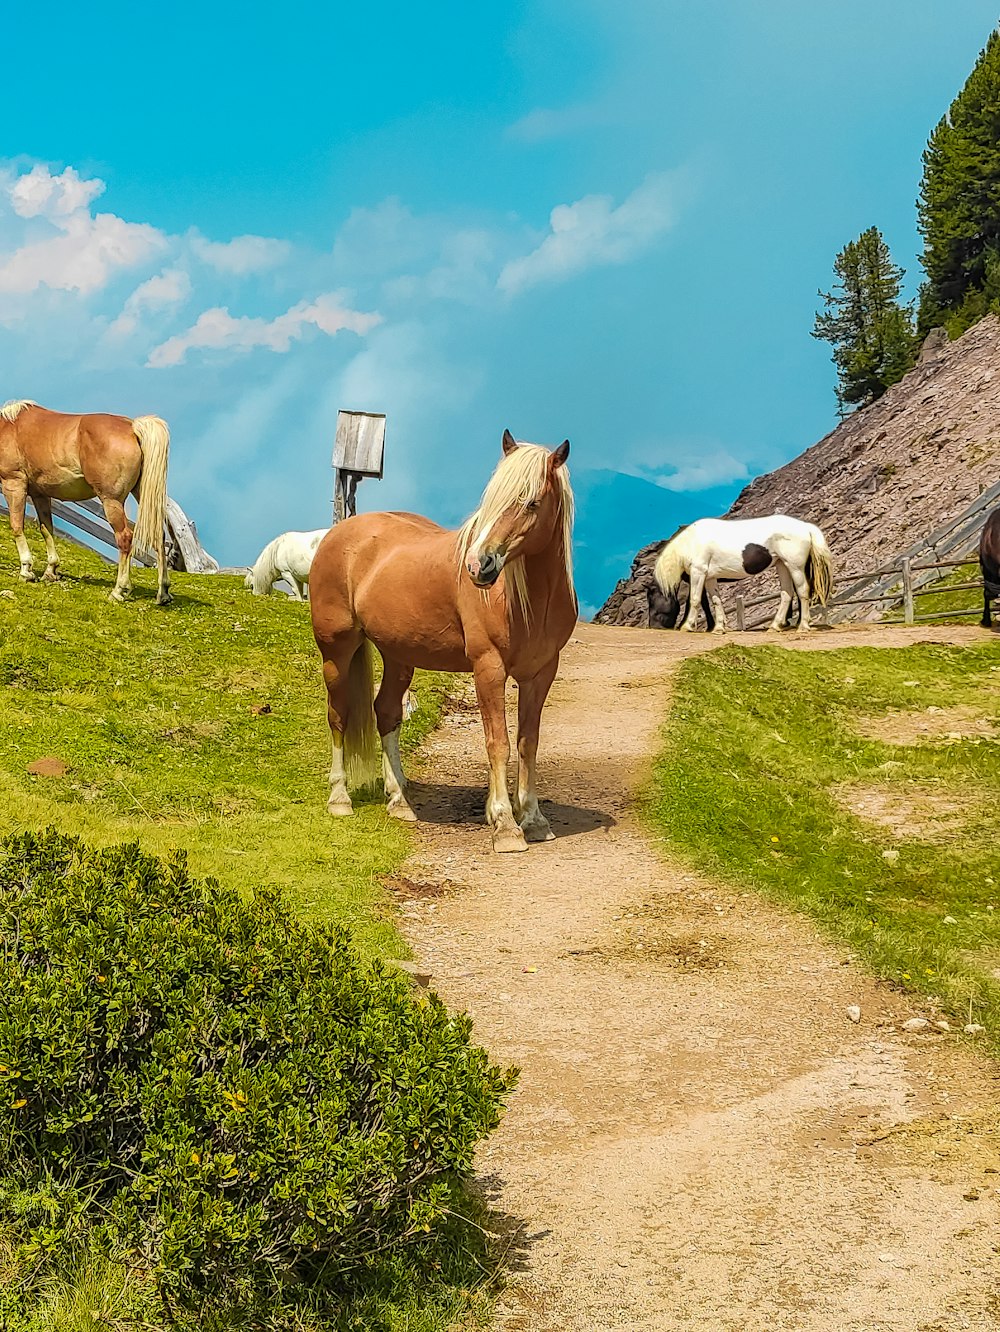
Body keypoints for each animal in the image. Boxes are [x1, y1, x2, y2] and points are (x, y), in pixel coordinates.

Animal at [0, 394, 171, 604]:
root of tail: (132, 427)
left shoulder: (14, 484)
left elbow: (17, 526)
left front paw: (26, 571)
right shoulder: (41, 494)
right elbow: (47, 530)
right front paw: (51, 571)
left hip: (111, 501)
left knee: (124, 538)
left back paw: (119, 590)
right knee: (158, 536)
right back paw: (163, 592)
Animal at [308, 431, 575, 857]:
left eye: (532, 502)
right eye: (491, 499)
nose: (479, 565)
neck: (527, 600)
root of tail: (341, 533)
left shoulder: (541, 673)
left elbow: (527, 744)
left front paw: (533, 820)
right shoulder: (488, 669)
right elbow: (498, 743)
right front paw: (505, 825)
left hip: (398, 657)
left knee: (386, 713)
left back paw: (399, 800)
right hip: (336, 651)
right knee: (339, 716)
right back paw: (340, 799)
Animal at [652, 511, 830, 631]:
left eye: (654, 603)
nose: (654, 625)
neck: (691, 542)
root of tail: (805, 527)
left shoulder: (698, 572)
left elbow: (695, 600)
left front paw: (687, 626)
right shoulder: (709, 577)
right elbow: (716, 600)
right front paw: (719, 628)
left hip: (795, 567)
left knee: (802, 592)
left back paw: (803, 626)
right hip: (782, 565)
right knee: (787, 593)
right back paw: (775, 625)